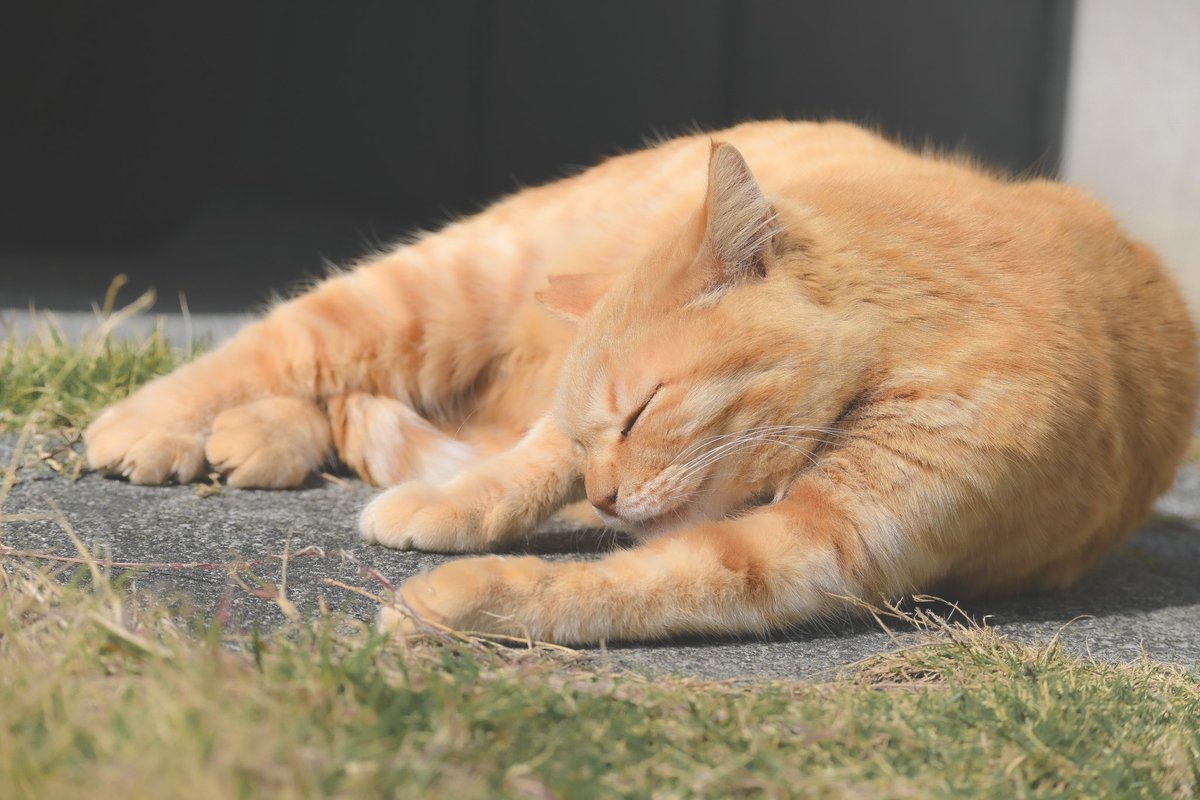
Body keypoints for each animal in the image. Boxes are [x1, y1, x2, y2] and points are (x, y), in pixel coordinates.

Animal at [82, 120, 1190, 642]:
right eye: (601, 427)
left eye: (644, 412)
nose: (608, 496)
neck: (917, 330)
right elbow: (526, 465)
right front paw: (459, 512)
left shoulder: (820, 546)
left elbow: (626, 584)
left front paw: (461, 599)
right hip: (444, 285)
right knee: (286, 341)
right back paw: (153, 427)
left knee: (346, 396)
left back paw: (269, 437)